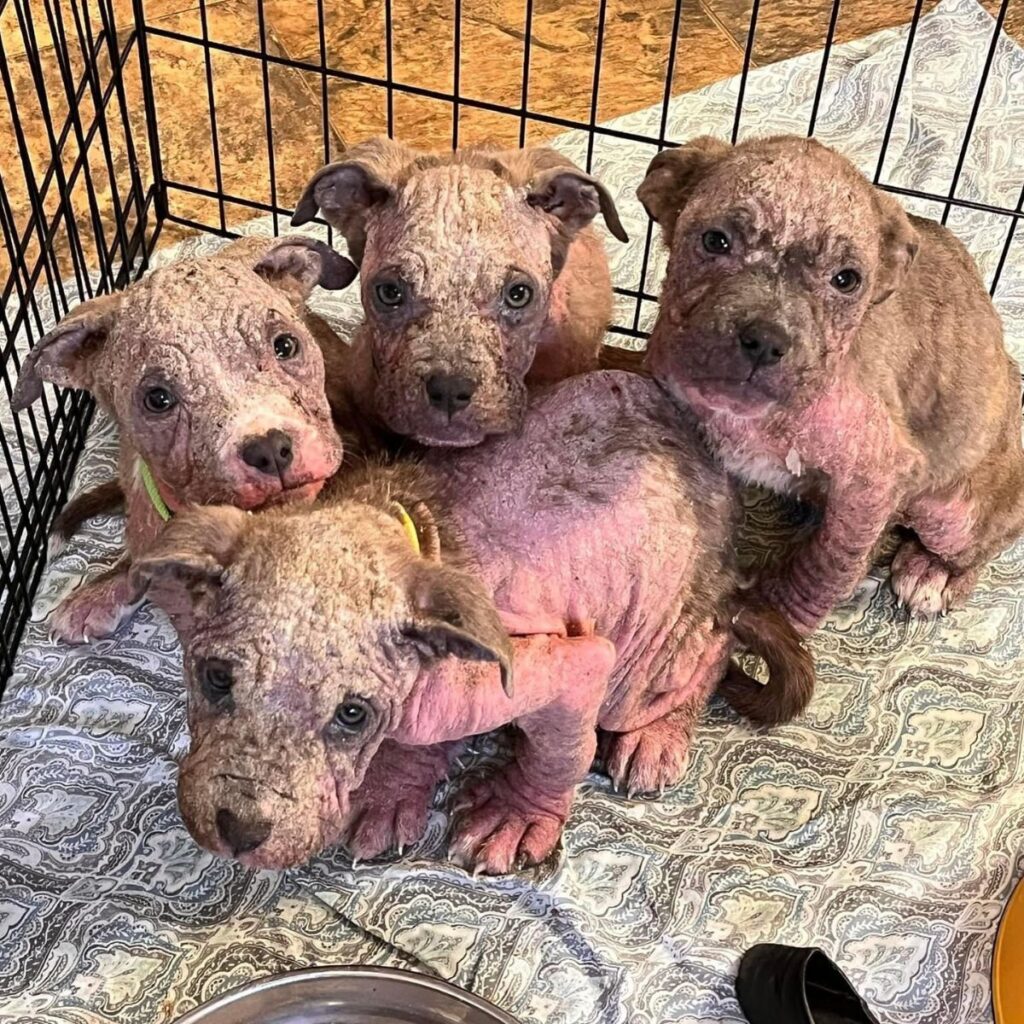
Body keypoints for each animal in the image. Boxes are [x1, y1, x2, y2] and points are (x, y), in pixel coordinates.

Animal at [132, 372, 811, 876]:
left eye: (352, 715)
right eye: (215, 678)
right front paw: (391, 790)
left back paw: (657, 732)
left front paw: (517, 814)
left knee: (708, 650)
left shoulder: (565, 665)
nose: (240, 830)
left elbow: (562, 751)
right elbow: (417, 740)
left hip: (649, 644)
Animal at [638, 134, 1024, 630]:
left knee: (976, 548)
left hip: (954, 513)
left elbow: (827, 563)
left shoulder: (873, 481)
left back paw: (930, 571)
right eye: (715, 241)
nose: (765, 340)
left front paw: (783, 613)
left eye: (846, 280)